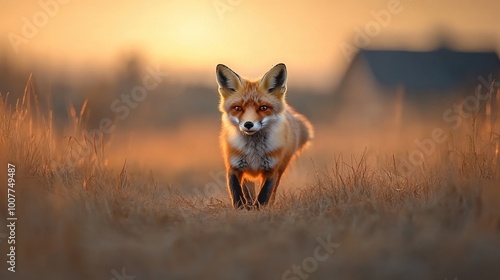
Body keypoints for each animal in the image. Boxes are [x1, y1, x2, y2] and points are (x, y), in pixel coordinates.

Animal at [215, 63, 312, 208]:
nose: (248, 124)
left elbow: (263, 197)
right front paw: (241, 209)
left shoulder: (271, 170)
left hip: (281, 167)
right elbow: (237, 194)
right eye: (238, 108)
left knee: (273, 191)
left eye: (263, 108)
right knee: (248, 189)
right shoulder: (233, 167)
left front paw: (260, 210)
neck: (254, 150)